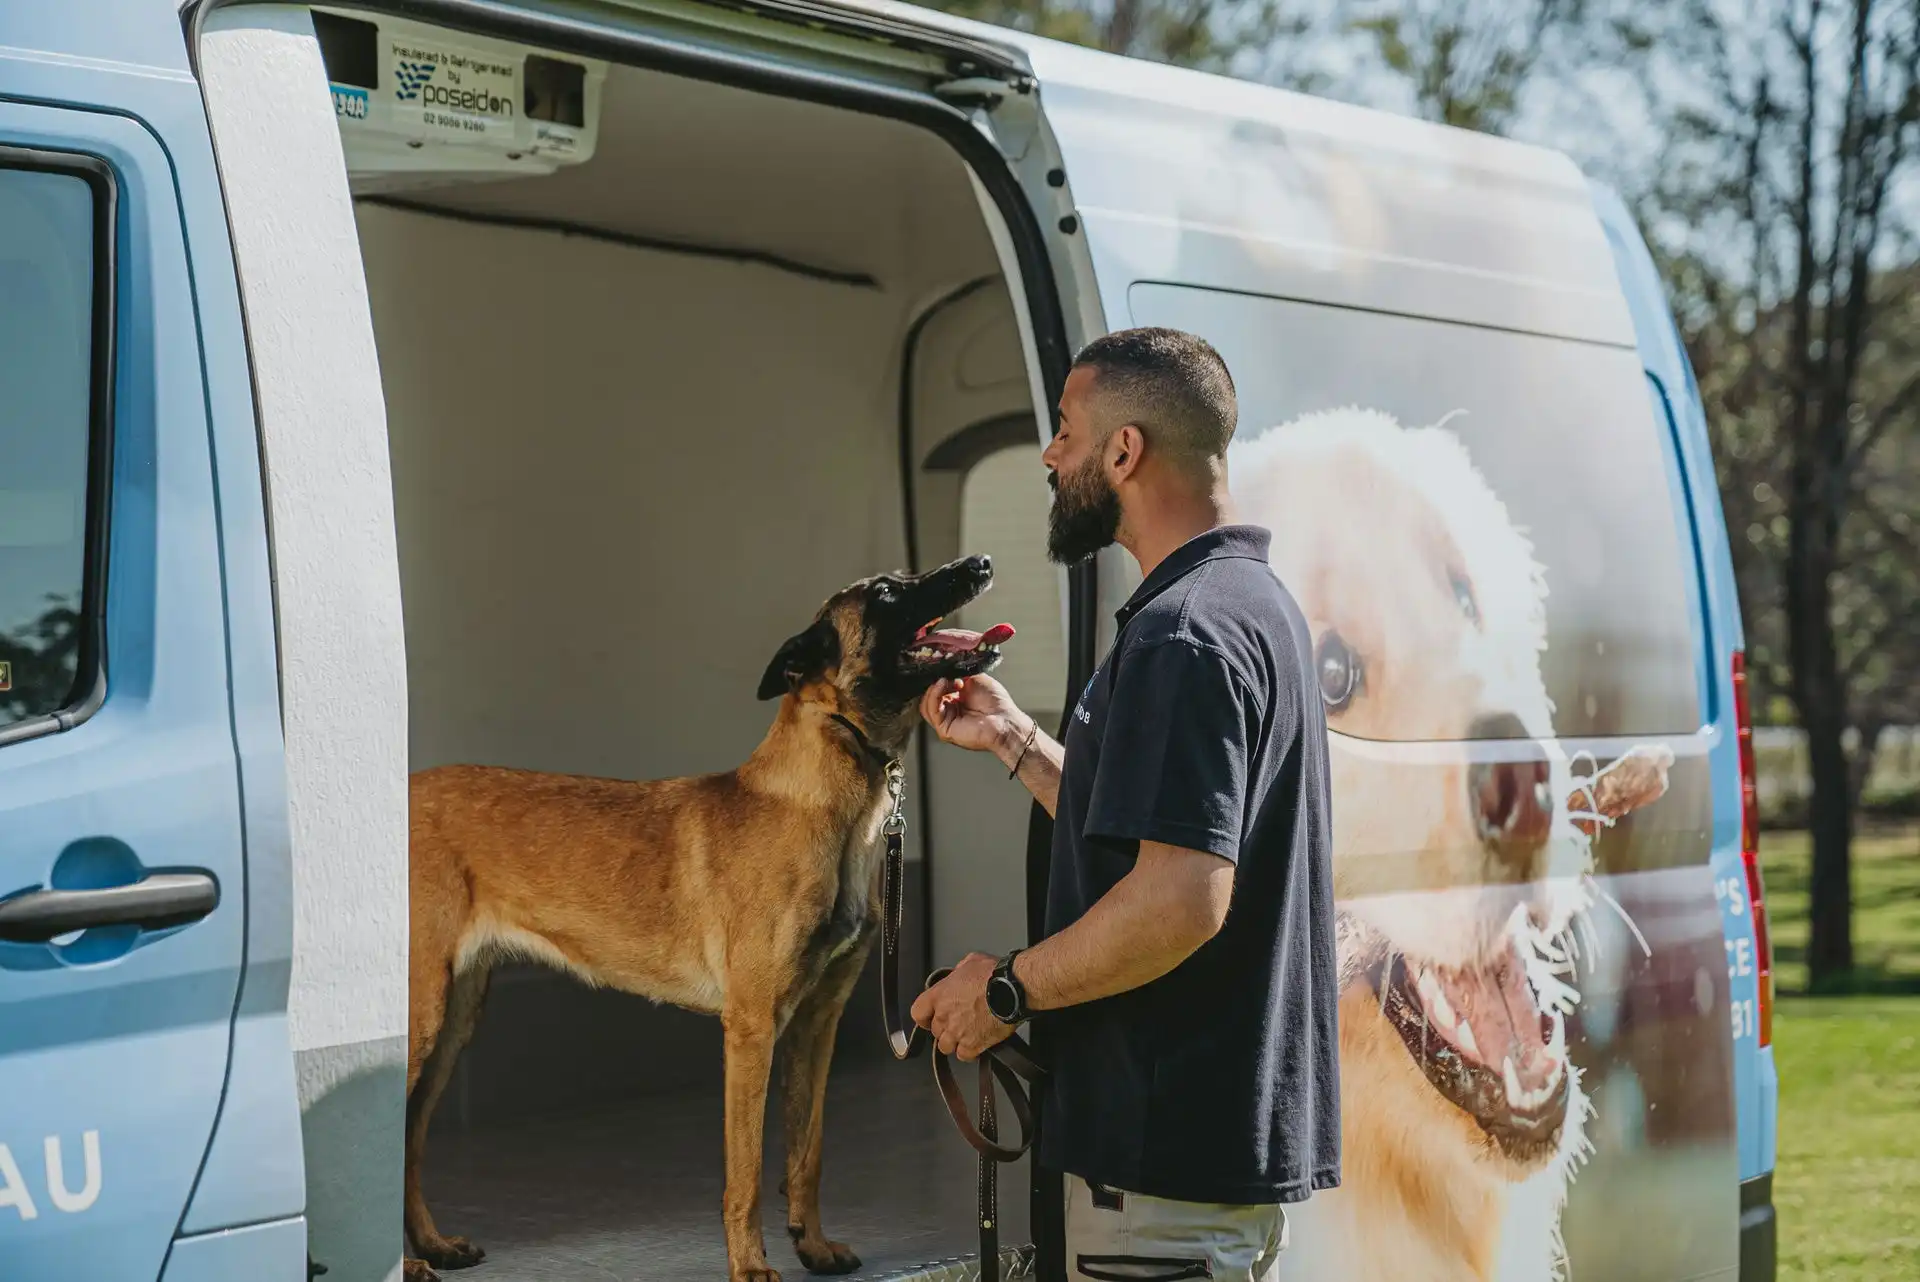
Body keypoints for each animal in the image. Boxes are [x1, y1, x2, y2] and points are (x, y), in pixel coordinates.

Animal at [399, 556, 1013, 1282]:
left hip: (453, 1023)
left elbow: (806, 1154)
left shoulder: (816, 1025)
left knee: (407, 1141)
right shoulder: (750, 1029)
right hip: (422, 1019)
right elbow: (744, 1172)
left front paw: (813, 1244)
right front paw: (750, 1266)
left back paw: (431, 1247)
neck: (822, 796)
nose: (980, 563)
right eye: (887, 592)